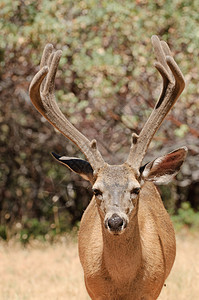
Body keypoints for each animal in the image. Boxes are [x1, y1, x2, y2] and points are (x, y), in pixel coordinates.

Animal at [29, 35, 187, 300]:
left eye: (135, 189)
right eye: (96, 190)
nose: (115, 221)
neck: (123, 285)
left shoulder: (153, 289)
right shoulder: (93, 289)